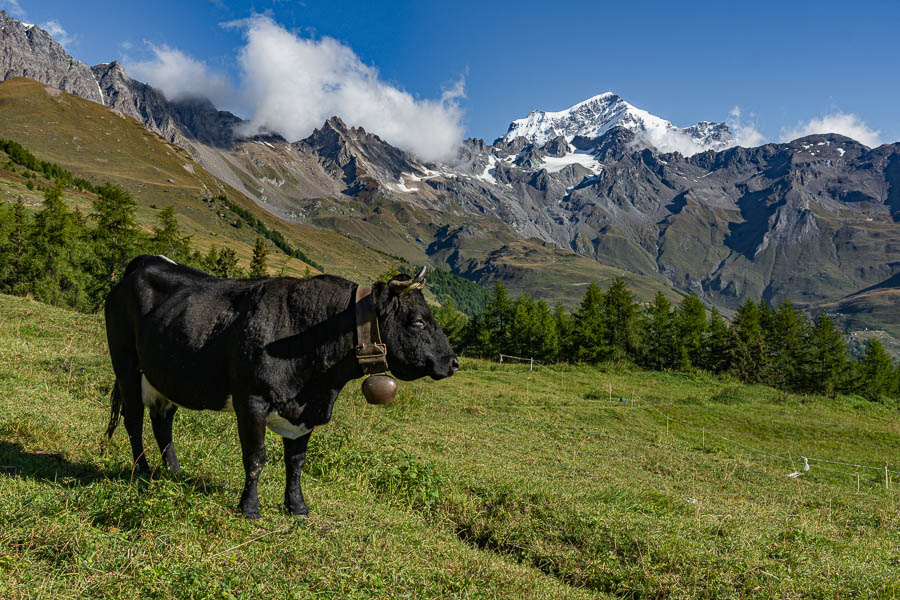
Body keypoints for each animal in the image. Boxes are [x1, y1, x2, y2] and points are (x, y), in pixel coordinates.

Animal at [104, 255, 458, 516]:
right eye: (418, 321)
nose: (452, 362)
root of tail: (145, 262)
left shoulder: (305, 410)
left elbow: (296, 461)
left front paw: (297, 506)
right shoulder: (252, 400)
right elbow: (256, 456)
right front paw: (249, 508)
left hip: (165, 375)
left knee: (162, 420)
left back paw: (173, 472)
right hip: (125, 364)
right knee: (133, 419)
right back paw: (140, 470)